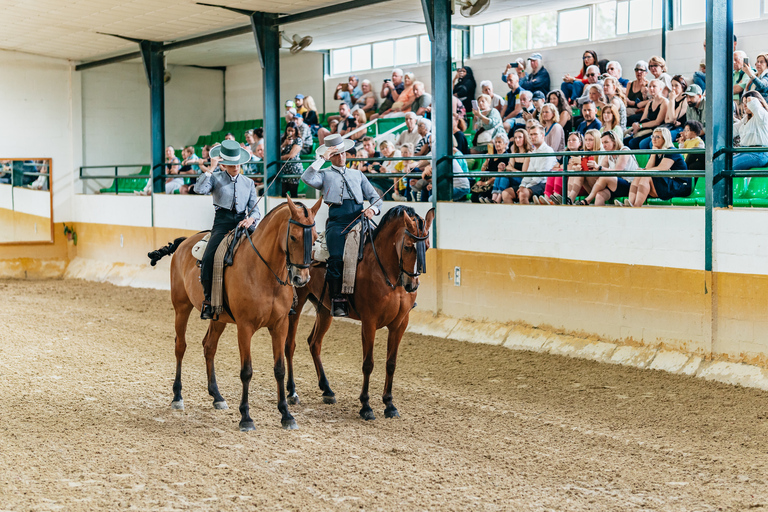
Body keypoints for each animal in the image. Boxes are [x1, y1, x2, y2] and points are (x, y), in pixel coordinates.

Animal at [148, 198, 320, 430]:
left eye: (316, 237)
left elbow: (279, 369)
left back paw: (217, 396)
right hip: (181, 308)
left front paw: (286, 414)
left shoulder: (280, 325)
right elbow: (246, 371)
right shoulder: (245, 327)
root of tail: (185, 243)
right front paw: (246, 417)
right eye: (293, 236)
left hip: (217, 318)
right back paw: (177, 397)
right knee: (180, 347)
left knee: (209, 347)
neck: (264, 272)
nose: (301, 278)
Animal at [284, 204, 436, 420]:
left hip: (324, 310)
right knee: (290, 345)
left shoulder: (400, 324)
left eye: (428, 246)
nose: (411, 285)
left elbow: (391, 363)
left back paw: (327, 390)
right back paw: (292, 392)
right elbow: (368, 363)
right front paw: (366, 406)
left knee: (314, 343)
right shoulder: (369, 322)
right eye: (407, 246)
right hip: (296, 307)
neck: (386, 273)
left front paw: (389, 404)